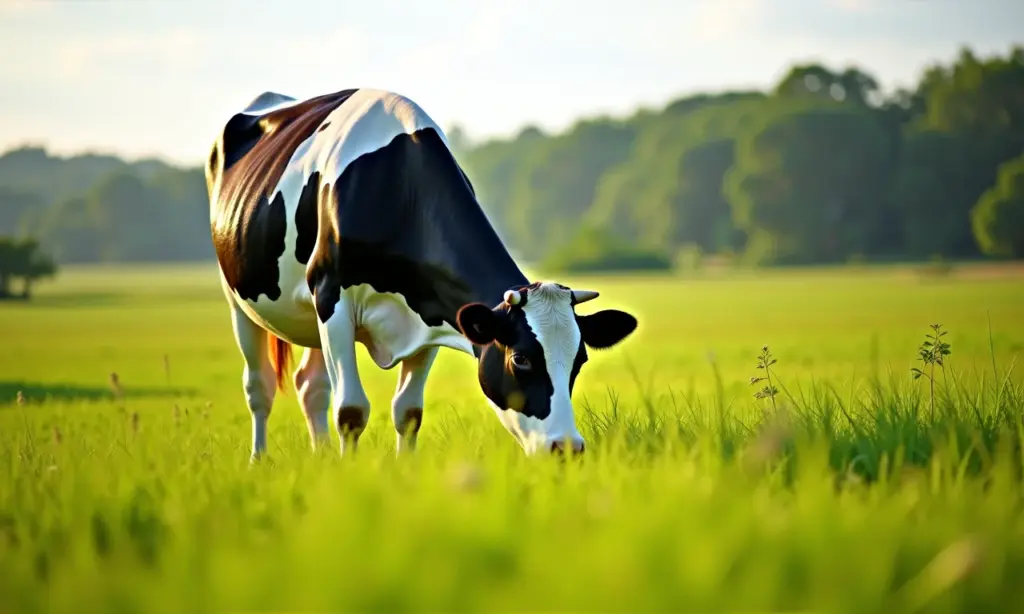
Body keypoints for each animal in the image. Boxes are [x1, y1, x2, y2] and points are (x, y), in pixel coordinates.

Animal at [205, 88, 638, 460]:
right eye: (521, 359)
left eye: (580, 358)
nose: (566, 447)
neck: (399, 189)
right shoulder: (331, 297)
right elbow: (351, 410)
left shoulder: (430, 312)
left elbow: (408, 412)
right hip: (238, 300)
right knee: (259, 386)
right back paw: (259, 460)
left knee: (311, 385)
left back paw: (322, 456)